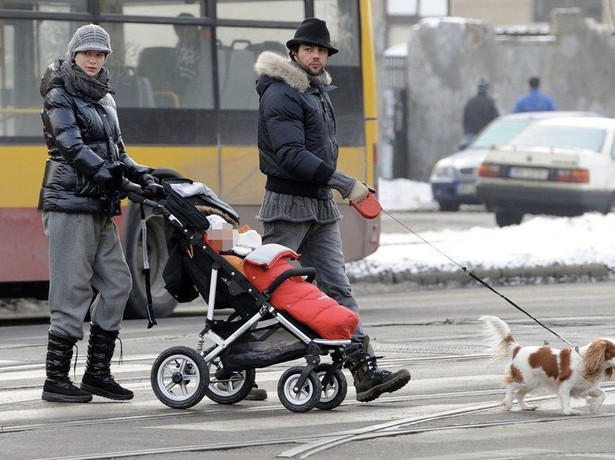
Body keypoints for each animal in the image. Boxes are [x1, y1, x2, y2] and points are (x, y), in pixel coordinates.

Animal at [482, 314, 615, 416]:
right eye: (614, 351)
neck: (585, 360)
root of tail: (518, 349)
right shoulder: (565, 385)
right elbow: (566, 399)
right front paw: (569, 411)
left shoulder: (587, 387)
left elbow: (603, 394)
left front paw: (593, 406)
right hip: (525, 380)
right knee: (510, 385)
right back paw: (508, 404)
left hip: (532, 383)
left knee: (519, 394)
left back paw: (526, 407)